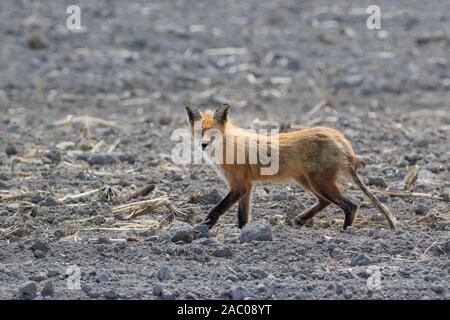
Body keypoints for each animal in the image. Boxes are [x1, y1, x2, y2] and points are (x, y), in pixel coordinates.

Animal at [185, 102, 396, 230]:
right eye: (200, 132)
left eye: (212, 134)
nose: (204, 145)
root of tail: (337, 136)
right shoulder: (246, 187)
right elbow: (242, 216)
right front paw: (244, 232)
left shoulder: (239, 186)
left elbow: (217, 209)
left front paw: (205, 226)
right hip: (307, 182)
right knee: (325, 202)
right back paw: (301, 219)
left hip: (320, 184)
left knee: (351, 205)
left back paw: (345, 230)